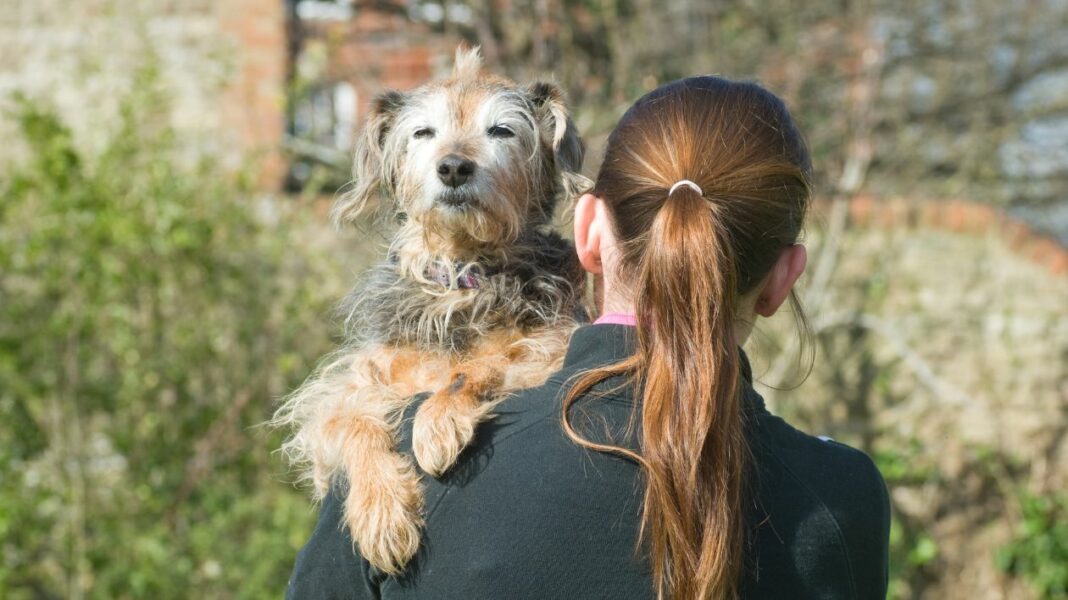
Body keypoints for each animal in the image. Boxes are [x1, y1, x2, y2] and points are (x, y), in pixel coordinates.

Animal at [275, 47, 589, 576]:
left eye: (500, 131)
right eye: (423, 133)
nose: (454, 167)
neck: (460, 274)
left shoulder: (555, 341)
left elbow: (478, 366)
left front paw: (437, 425)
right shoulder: (339, 391)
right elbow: (352, 420)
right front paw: (381, 513)